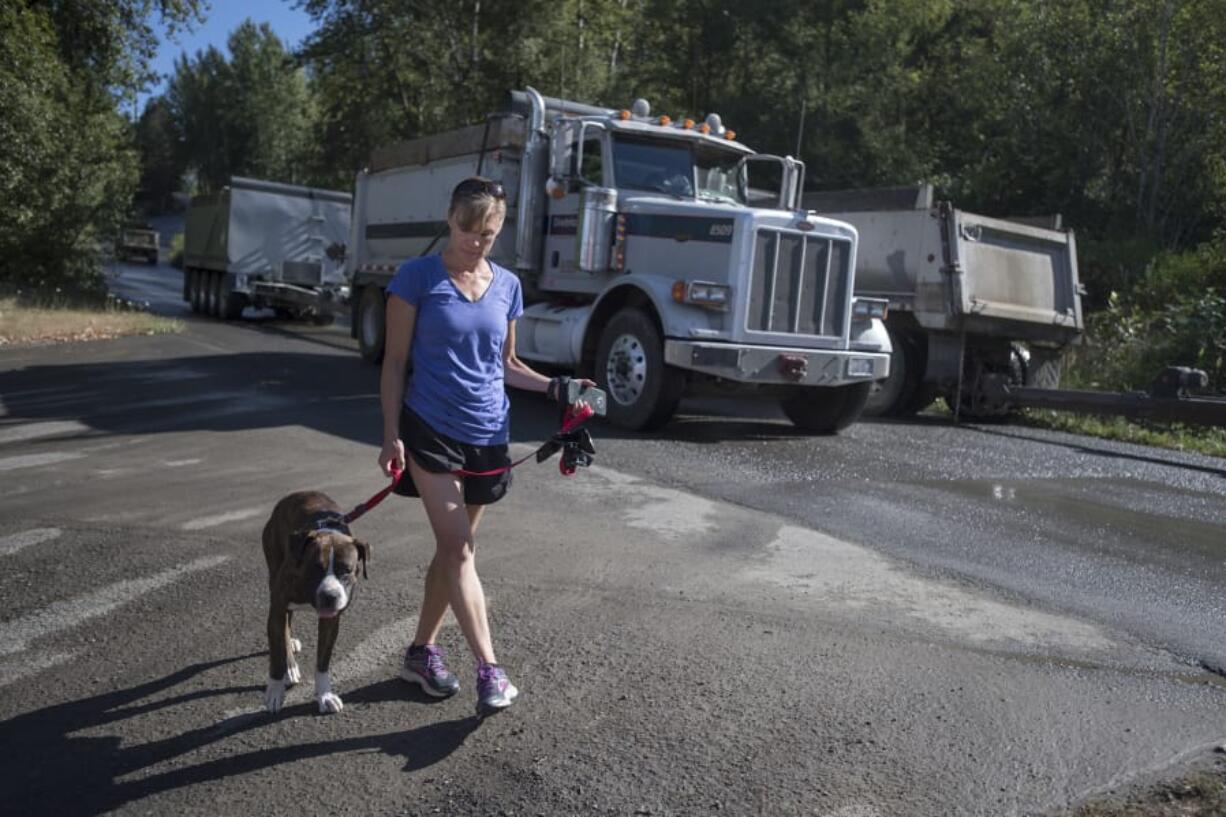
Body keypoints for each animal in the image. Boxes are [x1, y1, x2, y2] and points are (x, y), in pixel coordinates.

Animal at [262, 485, 367, 711]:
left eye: (347, 571)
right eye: (315, 568)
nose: (330, 595)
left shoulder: (331, 620)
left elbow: (323, 660)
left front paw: (325, 694)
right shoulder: (277, 608)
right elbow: (276, 655)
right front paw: (275, 690)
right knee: (284, 626)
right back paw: (290, 666)